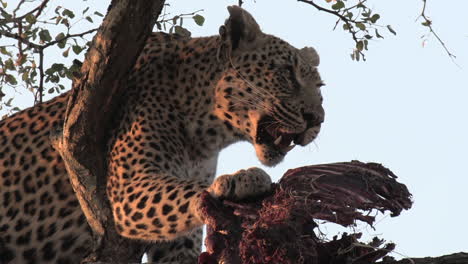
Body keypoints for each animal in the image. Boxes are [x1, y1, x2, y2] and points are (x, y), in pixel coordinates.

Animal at [0, 6, 324, 264]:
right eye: (286, 73)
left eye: (319, 87)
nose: (316, 120)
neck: (207, 132)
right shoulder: (129, 187)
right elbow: (181, 188)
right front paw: (237, 180)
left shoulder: (177, 244)